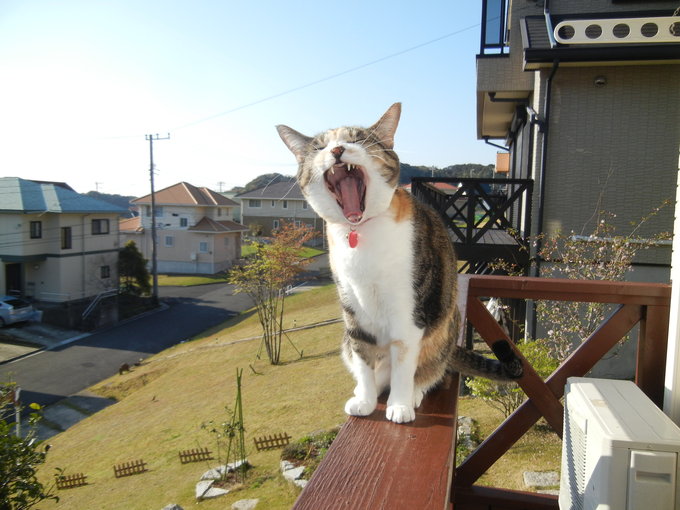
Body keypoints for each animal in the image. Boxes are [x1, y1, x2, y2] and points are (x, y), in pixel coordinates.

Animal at [274, 102, 520, 422]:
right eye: (320, 147)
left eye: (357, 139)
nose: (338, 149)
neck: (360, 232)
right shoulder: (353, 311)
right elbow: (363, 358)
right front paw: (365, 399)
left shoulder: (408, 311)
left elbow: (404, 362)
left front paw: (400, 404)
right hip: (348, 339)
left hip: (443, 328)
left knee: (428, 368)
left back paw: (414, 392)